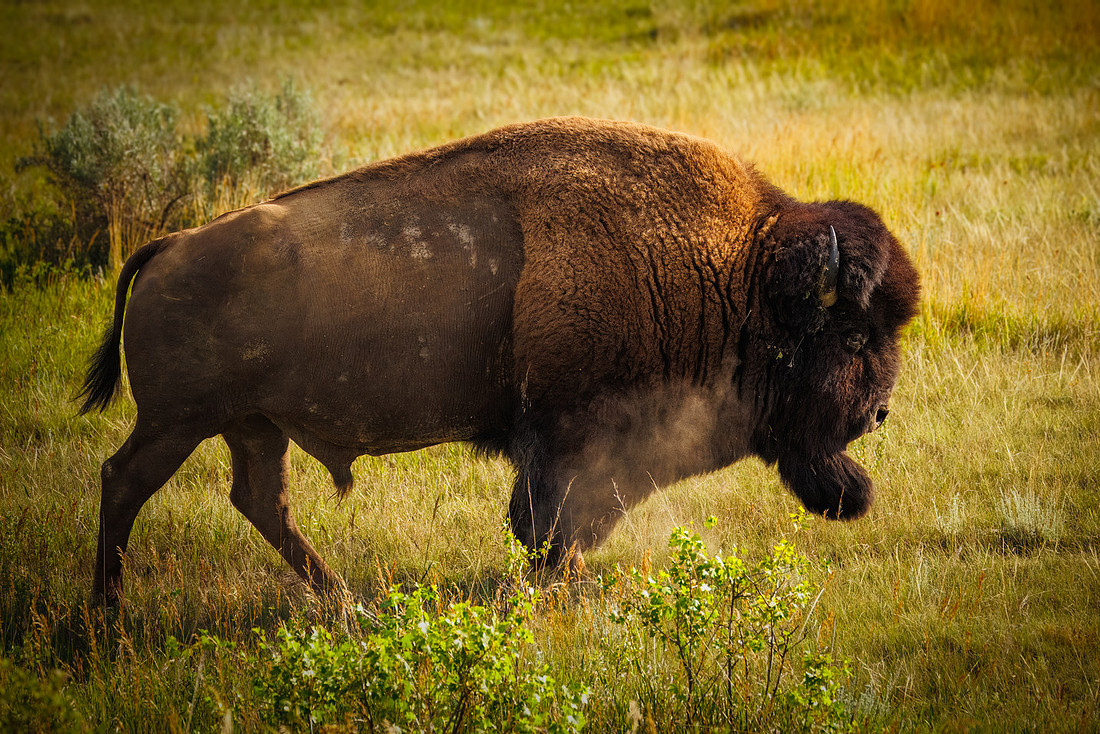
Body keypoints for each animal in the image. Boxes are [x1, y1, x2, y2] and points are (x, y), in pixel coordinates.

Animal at [80, 117, 920, 604]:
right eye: (852, 338)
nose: (879, 413)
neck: (735, 273)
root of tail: (167, 246)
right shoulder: (569, 438)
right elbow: (550, 521)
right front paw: (568, 590)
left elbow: (555, 524)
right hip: (177, 423)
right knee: (123, 482)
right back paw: (107, 618)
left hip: (252, 426)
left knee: (260, 500)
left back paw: (344, 604)